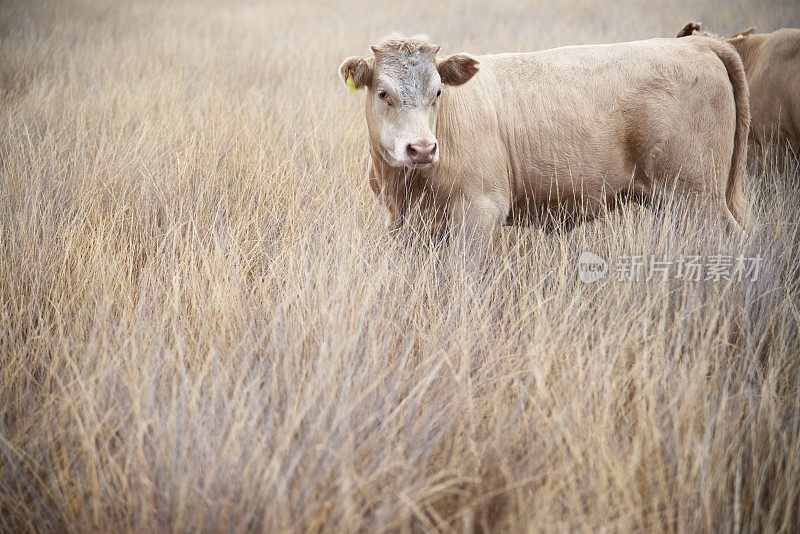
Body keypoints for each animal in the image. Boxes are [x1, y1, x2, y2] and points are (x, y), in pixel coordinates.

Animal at [340, 35, 752, 249]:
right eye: (383, 93)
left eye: (438, 92)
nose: (422, 148)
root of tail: (697, 43)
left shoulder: (480, 208)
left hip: (698, 194)